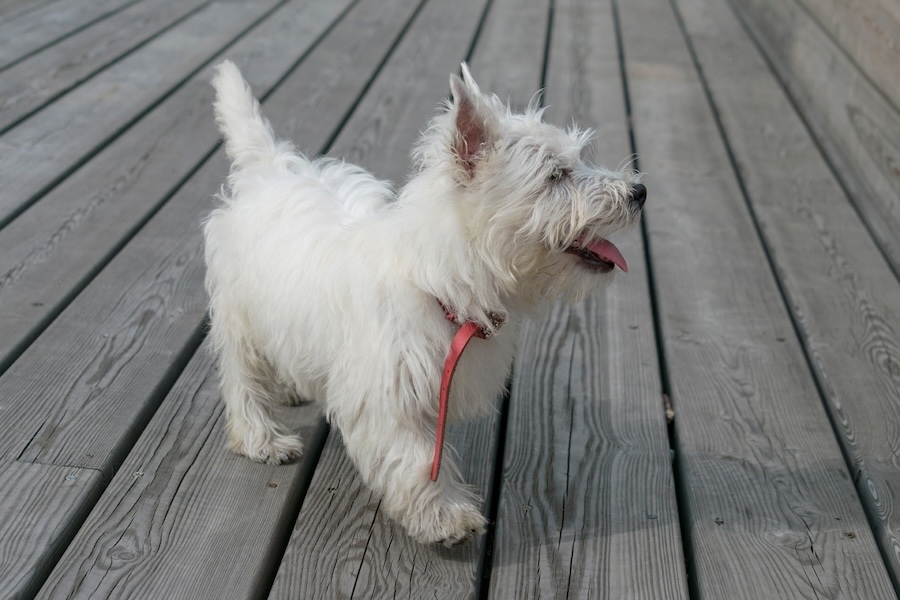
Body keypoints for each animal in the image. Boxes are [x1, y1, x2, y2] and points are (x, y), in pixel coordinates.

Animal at [203, 61, 644, 544]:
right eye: (555, 176)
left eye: (577, 161)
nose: (638, 193)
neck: (442, 282)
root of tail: (268, 167)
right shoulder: (387, 396)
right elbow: (417, 458)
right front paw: (446, 516)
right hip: (238, 313)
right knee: (241, 378)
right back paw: (261, 438)